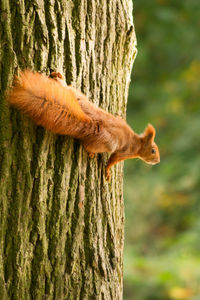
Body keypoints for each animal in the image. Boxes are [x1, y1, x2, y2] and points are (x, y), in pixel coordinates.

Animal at [6, 69, 160, 179]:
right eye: (153, 150)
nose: (157, 161)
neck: (137, 143)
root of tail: (93, 124)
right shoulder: (124, 152)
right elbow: (112, 160)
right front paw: (107, 171)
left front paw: (118, 114)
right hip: (107, 143)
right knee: (88, 145)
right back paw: (90, 152)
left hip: (80, 100)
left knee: (69, 90)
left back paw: (59, 80)